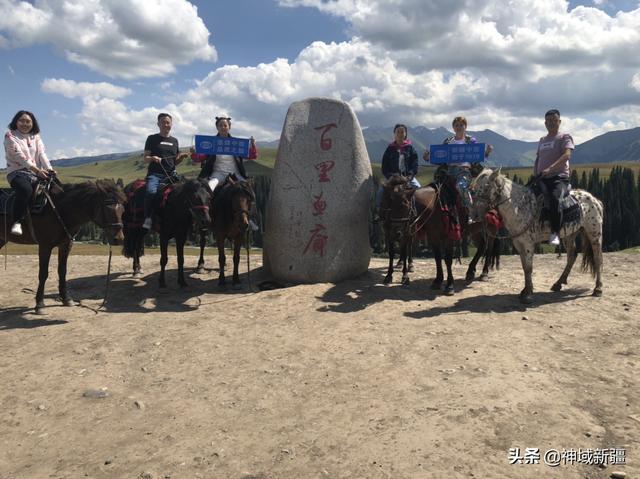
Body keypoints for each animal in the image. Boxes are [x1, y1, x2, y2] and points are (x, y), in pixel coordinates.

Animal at [0, 178, 126, 314]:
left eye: (123, 210)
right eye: (107, 208)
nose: (119, 239)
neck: (61, 210)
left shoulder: (66, 245)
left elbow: (62, 271)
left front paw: (66, 299)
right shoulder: (45, 246)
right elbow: (43, 273)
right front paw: (39, 304)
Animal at [470, 170, 604, 304]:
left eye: (486, 186)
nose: (475, 215)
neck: (519, 207)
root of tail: (595, 200)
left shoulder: (528, 244)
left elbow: (529, 267)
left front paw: (528, 295)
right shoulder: (518, 243)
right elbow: (524, 267)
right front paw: (525, 291)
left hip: (594, 233)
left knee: (597, 258)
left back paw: (598, 288)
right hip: (570, 234)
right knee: (572, 255)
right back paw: (558, 284)